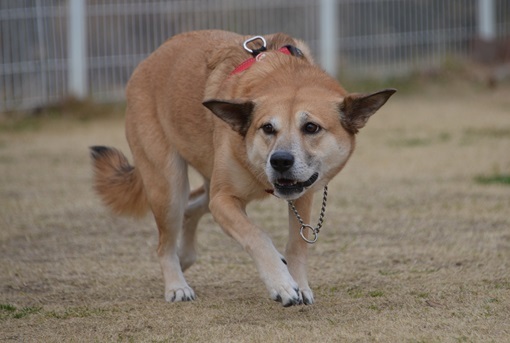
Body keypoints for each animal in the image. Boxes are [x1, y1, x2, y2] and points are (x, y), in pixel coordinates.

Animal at [90, 29, 394, 308]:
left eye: (311, 127)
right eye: (267, 128)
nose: (280, 161)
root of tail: (146, 62)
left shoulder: (303, 194)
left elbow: (297, 245)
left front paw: (300, 283)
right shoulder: (224, 200)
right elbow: (257, 235)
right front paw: (282, 283)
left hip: (205, 182)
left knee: (192, 208)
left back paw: (184, 257)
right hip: (169, 186)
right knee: (164, 242)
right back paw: (176, 285)